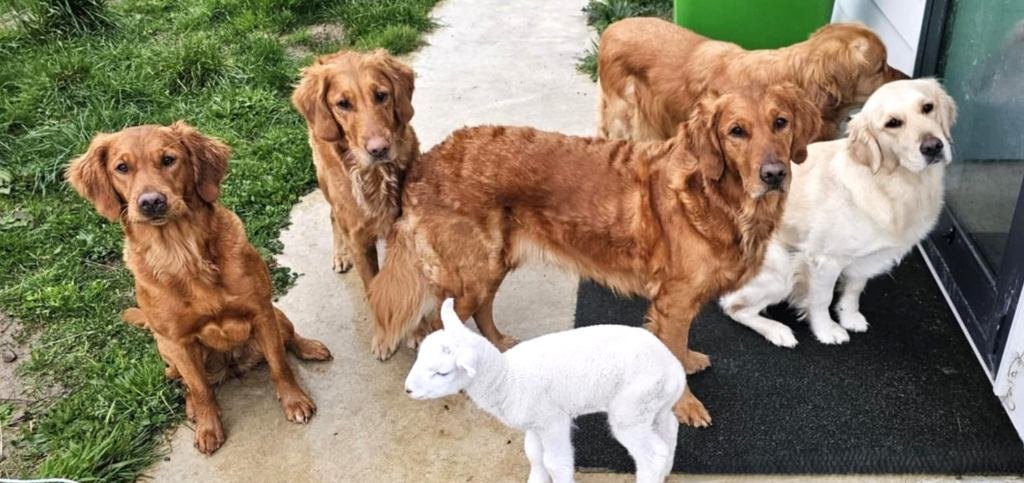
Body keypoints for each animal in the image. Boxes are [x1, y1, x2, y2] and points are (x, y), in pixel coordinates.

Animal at [405, 298, 686, 483]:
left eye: (442, 372)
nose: (407, 390)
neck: (507, 378)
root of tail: (676, 370)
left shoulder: (552, 420)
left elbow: (555, 462)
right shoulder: (535, 422)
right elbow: (535, 456)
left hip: (632, 407)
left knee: (652, 454)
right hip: (654, 403)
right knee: (670, 427)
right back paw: (666, 470)